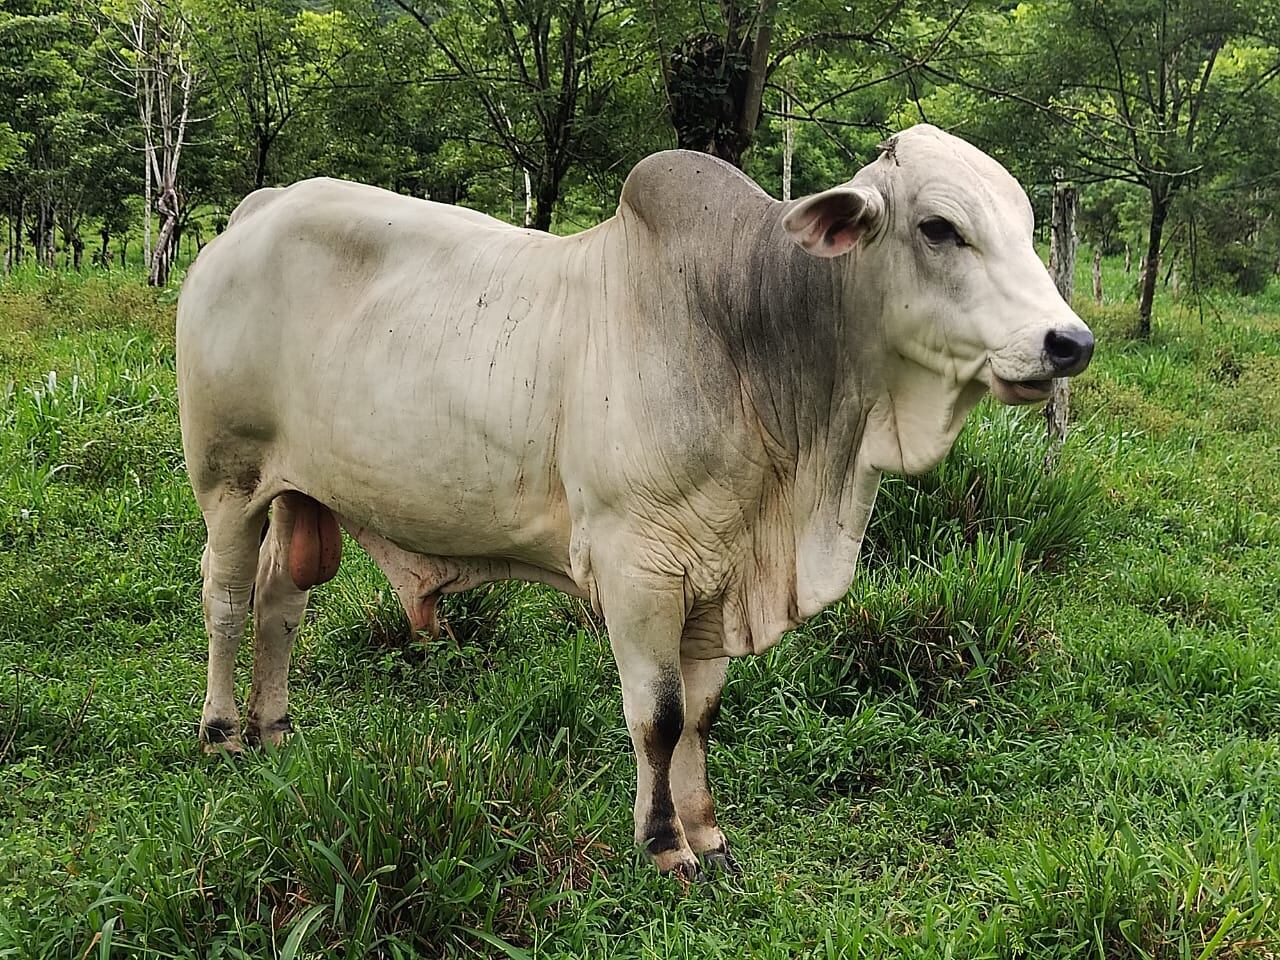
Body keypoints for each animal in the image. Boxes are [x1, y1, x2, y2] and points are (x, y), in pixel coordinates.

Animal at [176, 124, 1094, 880]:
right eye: (939, 227)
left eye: (1027, 225)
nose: (1069, 342)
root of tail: (259, 208)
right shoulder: (639, 572)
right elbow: (657, 716)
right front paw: (662, 845)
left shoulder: (718, 577)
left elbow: (702, 716)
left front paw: (709, 834)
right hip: (226, 480)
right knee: (224, 598)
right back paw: (222, 734)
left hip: (297, 491)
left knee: (278, 604)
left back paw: (274, 729)